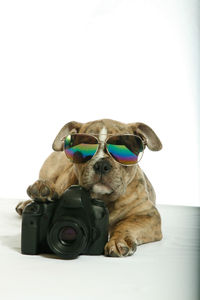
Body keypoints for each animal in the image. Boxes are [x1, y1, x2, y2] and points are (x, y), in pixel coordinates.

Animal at [15, 118, 162, 256]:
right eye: (84, 147)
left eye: (123, 151)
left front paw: (120, 240)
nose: (102, 164)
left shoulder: (148, 215)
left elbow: (127, 224)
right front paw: (46, 191)